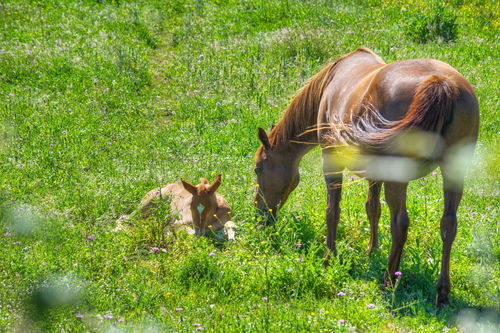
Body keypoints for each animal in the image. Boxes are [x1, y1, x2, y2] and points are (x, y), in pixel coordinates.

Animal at [256, 46, 478, 304]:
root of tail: (440, 82)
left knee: (400, 223)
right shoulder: (375, 167)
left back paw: (389, 279)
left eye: (258, 169)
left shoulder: (330, 157)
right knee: (448, 225)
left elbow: (333, 210)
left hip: (399, 176)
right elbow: (373, 207)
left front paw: (329, 257)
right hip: (452, 172)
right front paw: (372, 251)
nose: (259, 214)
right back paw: (441, 292)